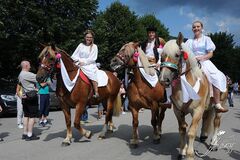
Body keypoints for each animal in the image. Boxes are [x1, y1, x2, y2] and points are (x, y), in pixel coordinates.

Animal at [159, 32, 227, 160]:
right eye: (161, 56)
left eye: (177, 55)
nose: (163, 80)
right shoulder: (178, 111)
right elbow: (182, 129)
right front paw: (182, 151)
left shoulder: (197, 110)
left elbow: (191, 132)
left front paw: (189, 155)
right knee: (206, 118)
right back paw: (204, 136)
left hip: (220, 105)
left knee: (216, 122)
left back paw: (213, 144)